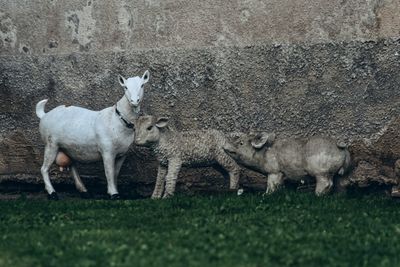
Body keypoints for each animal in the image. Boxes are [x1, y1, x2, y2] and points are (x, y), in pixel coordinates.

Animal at [34, 70, 149, 200]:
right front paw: (113, 194)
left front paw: (115, 191)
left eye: (142, 85)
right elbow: (109, 172)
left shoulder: (122, 154)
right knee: (44, 169)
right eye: (125, 87)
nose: (135, 101)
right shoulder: (107, 151)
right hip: (51, 143)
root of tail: (44, 115)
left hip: (68, 147)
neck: (118, 119)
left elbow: (115, 173)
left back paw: (84, 191)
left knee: (72, 165)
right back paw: (52, 193)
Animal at [223, 133, 352, 196]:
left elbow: (272, 184)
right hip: (340, 173)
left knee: (326, 183)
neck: (264, 153)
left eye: (241, 143)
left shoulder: (274, 171)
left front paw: (265, 195)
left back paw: (317, 195)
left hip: (322, 172)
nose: (224, 145)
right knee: (341, 182)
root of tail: (340, 146)